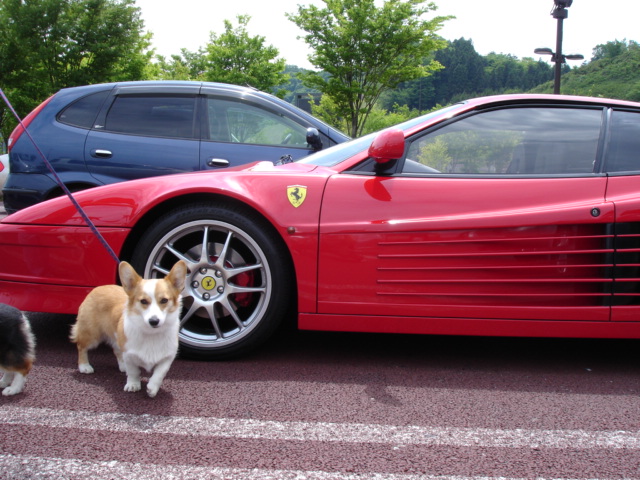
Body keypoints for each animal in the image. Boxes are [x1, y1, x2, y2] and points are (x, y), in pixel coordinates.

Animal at [70, 260, 187, 397]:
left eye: (164, 300)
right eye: (143, 301)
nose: (154, 321)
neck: (151, 333)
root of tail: (98, 287)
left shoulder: (168, 357)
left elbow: (159, 374)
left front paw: (152, 388)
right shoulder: (129, 353)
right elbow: (133, 372)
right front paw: (133, 385)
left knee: (116, 350)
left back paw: (122, 366)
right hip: (91, 335)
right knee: (81, 347)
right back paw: (84, 366)